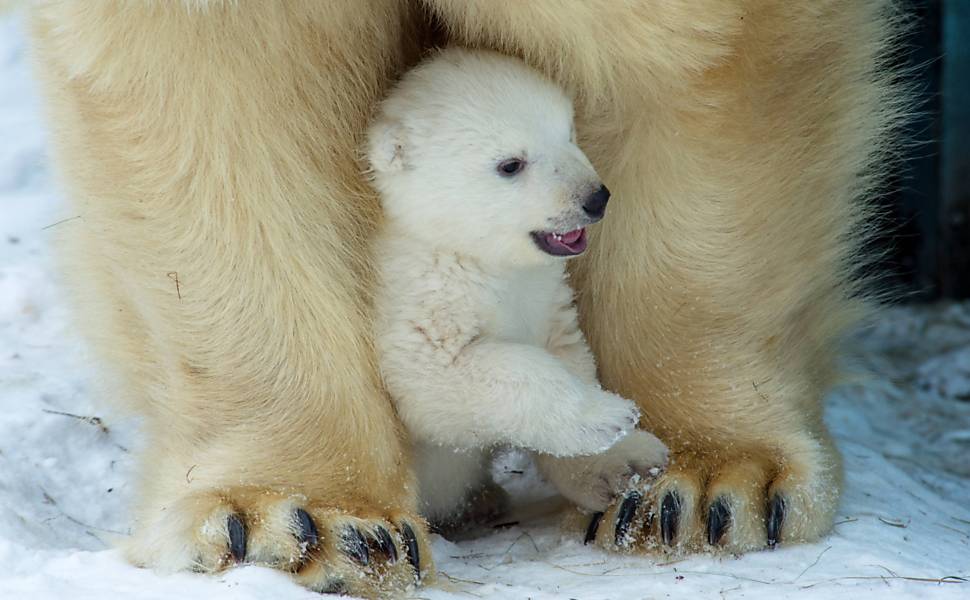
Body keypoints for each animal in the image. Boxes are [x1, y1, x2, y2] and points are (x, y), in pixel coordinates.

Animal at [28, 1, 900, 596]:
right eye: (509, 164)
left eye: (567, 134)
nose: (593, 200)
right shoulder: (427, 305)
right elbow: (209, 93)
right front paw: (299, 521)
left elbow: (693, 55)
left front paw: (698, 485)